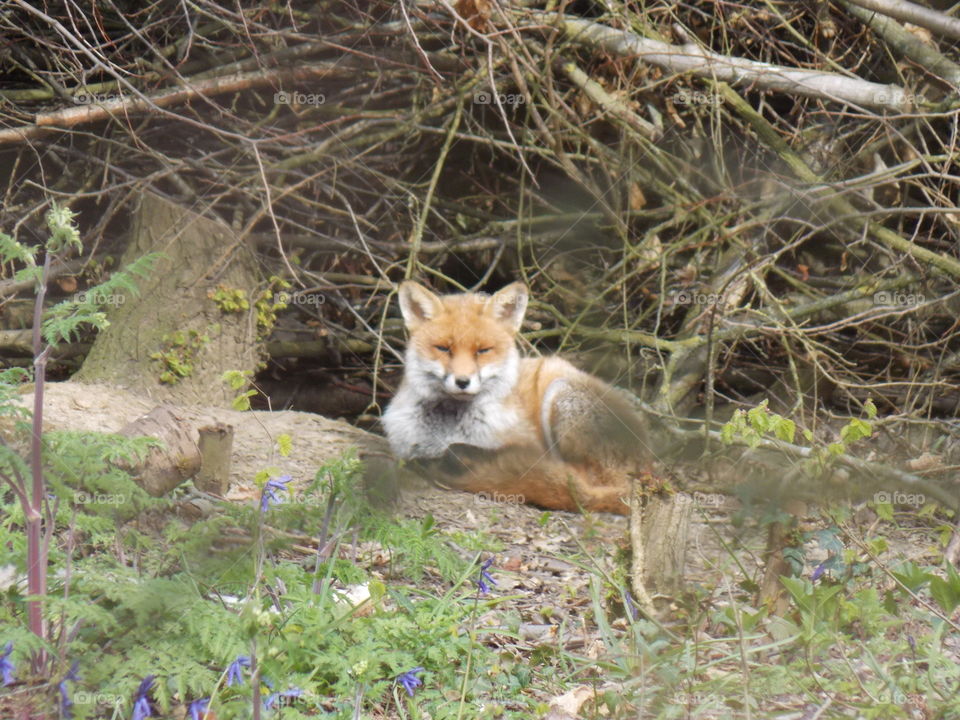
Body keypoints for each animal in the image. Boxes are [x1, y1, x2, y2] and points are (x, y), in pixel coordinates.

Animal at [381, 280, 651, 514]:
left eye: (483, 351)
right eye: (443, 349)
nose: (462, 382)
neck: (450, 429)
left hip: (560, 391)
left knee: (578, 487)